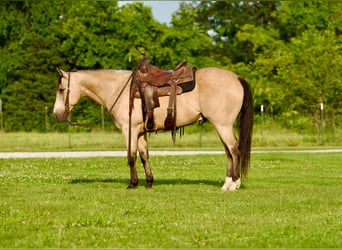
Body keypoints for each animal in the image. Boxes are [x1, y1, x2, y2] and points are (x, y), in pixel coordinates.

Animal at [52, 64, 251, 191]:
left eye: (61, 90)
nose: (57, 115)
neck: (119, 90)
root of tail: (236, 78)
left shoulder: (129, 130)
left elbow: (131, 157)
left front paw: (132, 184)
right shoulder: (140, 132)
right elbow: (144, 156)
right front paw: (148, 182)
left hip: (223, 126)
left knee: (234, 150)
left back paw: (234, 184)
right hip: (221, 127)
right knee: (229, 152)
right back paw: (226, 184)